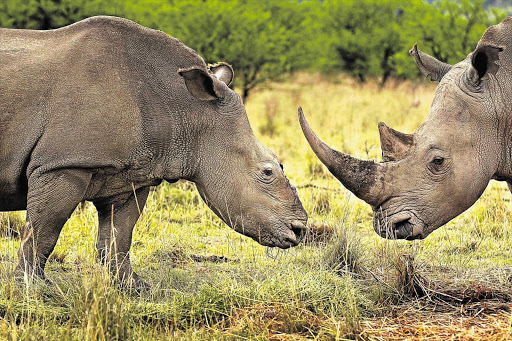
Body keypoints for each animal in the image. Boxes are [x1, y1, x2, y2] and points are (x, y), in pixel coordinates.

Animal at [1, 15, 308, 286]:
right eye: (267, 172)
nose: (299, 231)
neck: (187, 110)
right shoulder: (63, 163)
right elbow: (44, 230)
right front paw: (33, 288)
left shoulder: (130, 174)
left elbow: (119, 235)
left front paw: (133, 288)